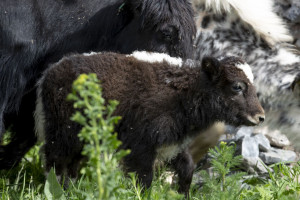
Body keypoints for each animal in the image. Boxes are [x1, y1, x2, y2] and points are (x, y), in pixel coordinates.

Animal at [35, 51, 264, 197]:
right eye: (237, 86)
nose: (260, 117)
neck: (183, 92)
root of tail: (48, 74)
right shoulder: (141, 145)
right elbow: (144, 179)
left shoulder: (172, 142)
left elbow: (187, 168)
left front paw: (183, 194)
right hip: (61, 133)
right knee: (54, 161)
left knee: (71, 165)